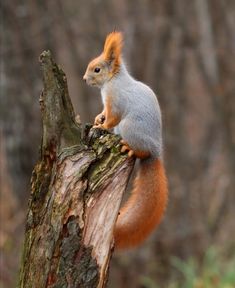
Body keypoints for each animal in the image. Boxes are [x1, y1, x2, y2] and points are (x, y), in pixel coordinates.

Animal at [83, 30, 168, 249]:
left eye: (97, 69)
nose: (84, 79)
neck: (112, 81)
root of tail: (156, 152)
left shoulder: (116, 101)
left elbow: (112, 117)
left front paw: (102, 126)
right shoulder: (108, 104)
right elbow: (105, 113)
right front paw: (98, 118)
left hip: (129, 127)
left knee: (139, 150)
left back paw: (130, 149)